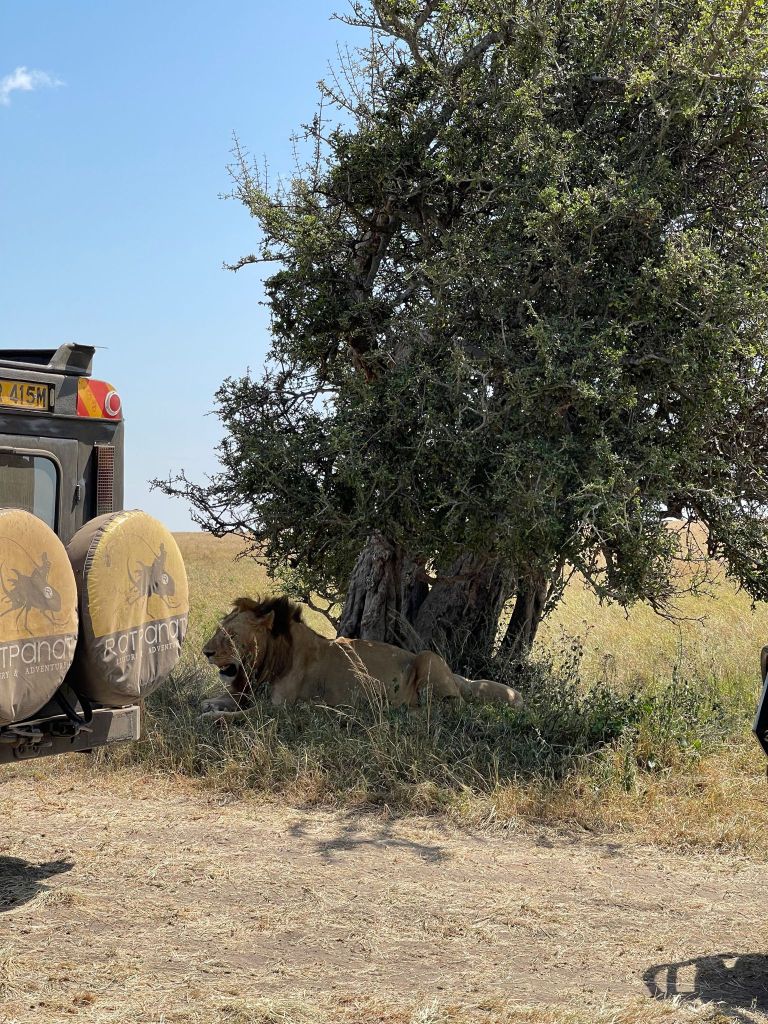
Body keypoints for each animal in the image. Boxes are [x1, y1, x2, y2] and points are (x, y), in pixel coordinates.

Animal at [201, 595, 522, 717]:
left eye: (231, 635)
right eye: (219, 629)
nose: (206, 652)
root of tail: (458, 679)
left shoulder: (283, 709)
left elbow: (242, 715)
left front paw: (213, 717)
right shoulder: (247, 691)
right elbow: (223, 699)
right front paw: (209, 703)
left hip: (428, 657)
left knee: (446, 707)